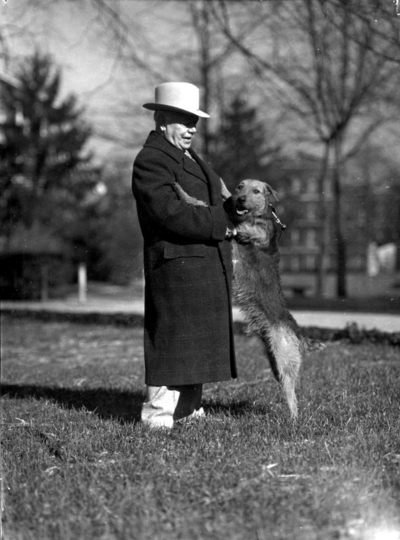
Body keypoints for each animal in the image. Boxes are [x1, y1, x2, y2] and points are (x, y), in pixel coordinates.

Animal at [173, 179, 320, 420]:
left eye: (256, 191)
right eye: (240, 187)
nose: (240, 199)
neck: (257, 216)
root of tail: (297, 331)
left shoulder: (234, 229)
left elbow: (201, 203)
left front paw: (180, 190)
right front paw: (223, 189)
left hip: (284, 359)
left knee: (292, 394)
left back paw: (293, 420)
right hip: (274, 359)